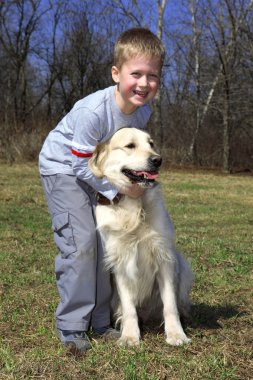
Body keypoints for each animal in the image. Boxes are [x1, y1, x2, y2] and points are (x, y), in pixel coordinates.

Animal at [88, 128, 193, 348]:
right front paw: (129, 336)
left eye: (151, 144)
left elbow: (170, 304)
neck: (134, 207)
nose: (158, 160)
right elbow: (128, 306)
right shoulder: (120, 260)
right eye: (130, 146)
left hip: (182, 264)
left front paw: (176, 334)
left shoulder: (164, 256)